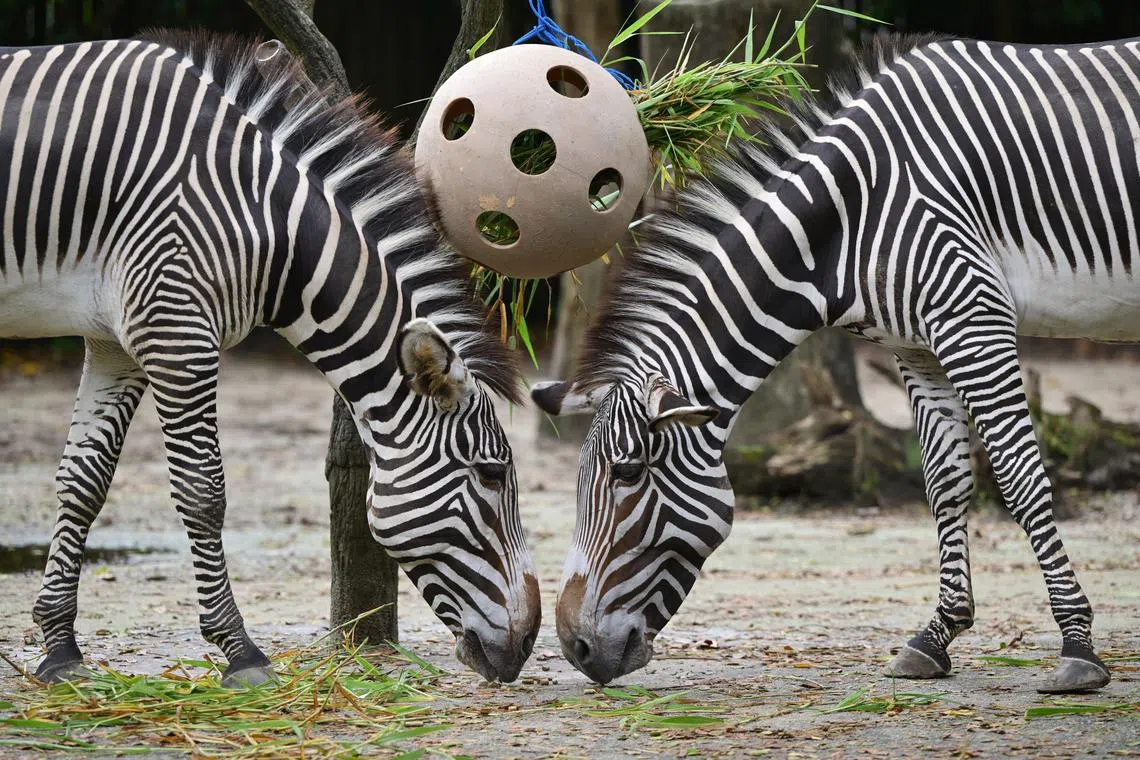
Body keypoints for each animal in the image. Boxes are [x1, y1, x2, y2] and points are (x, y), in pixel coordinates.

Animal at [0, 31, 540, 687]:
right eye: (491, 475)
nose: (526, 643)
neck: (265, 222)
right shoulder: (174, 327)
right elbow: (203, 492)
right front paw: (239, 651)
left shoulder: (114, 340)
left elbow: (82, 482)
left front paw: (58, 647)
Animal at [531, 33, 1135, 693]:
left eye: (627, 474)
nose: (575, 648)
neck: (850, 220)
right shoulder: (917, 345)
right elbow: (945, 483)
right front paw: (936, 636)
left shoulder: (973, 315)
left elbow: (1020, 478)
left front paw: (1077, 646)